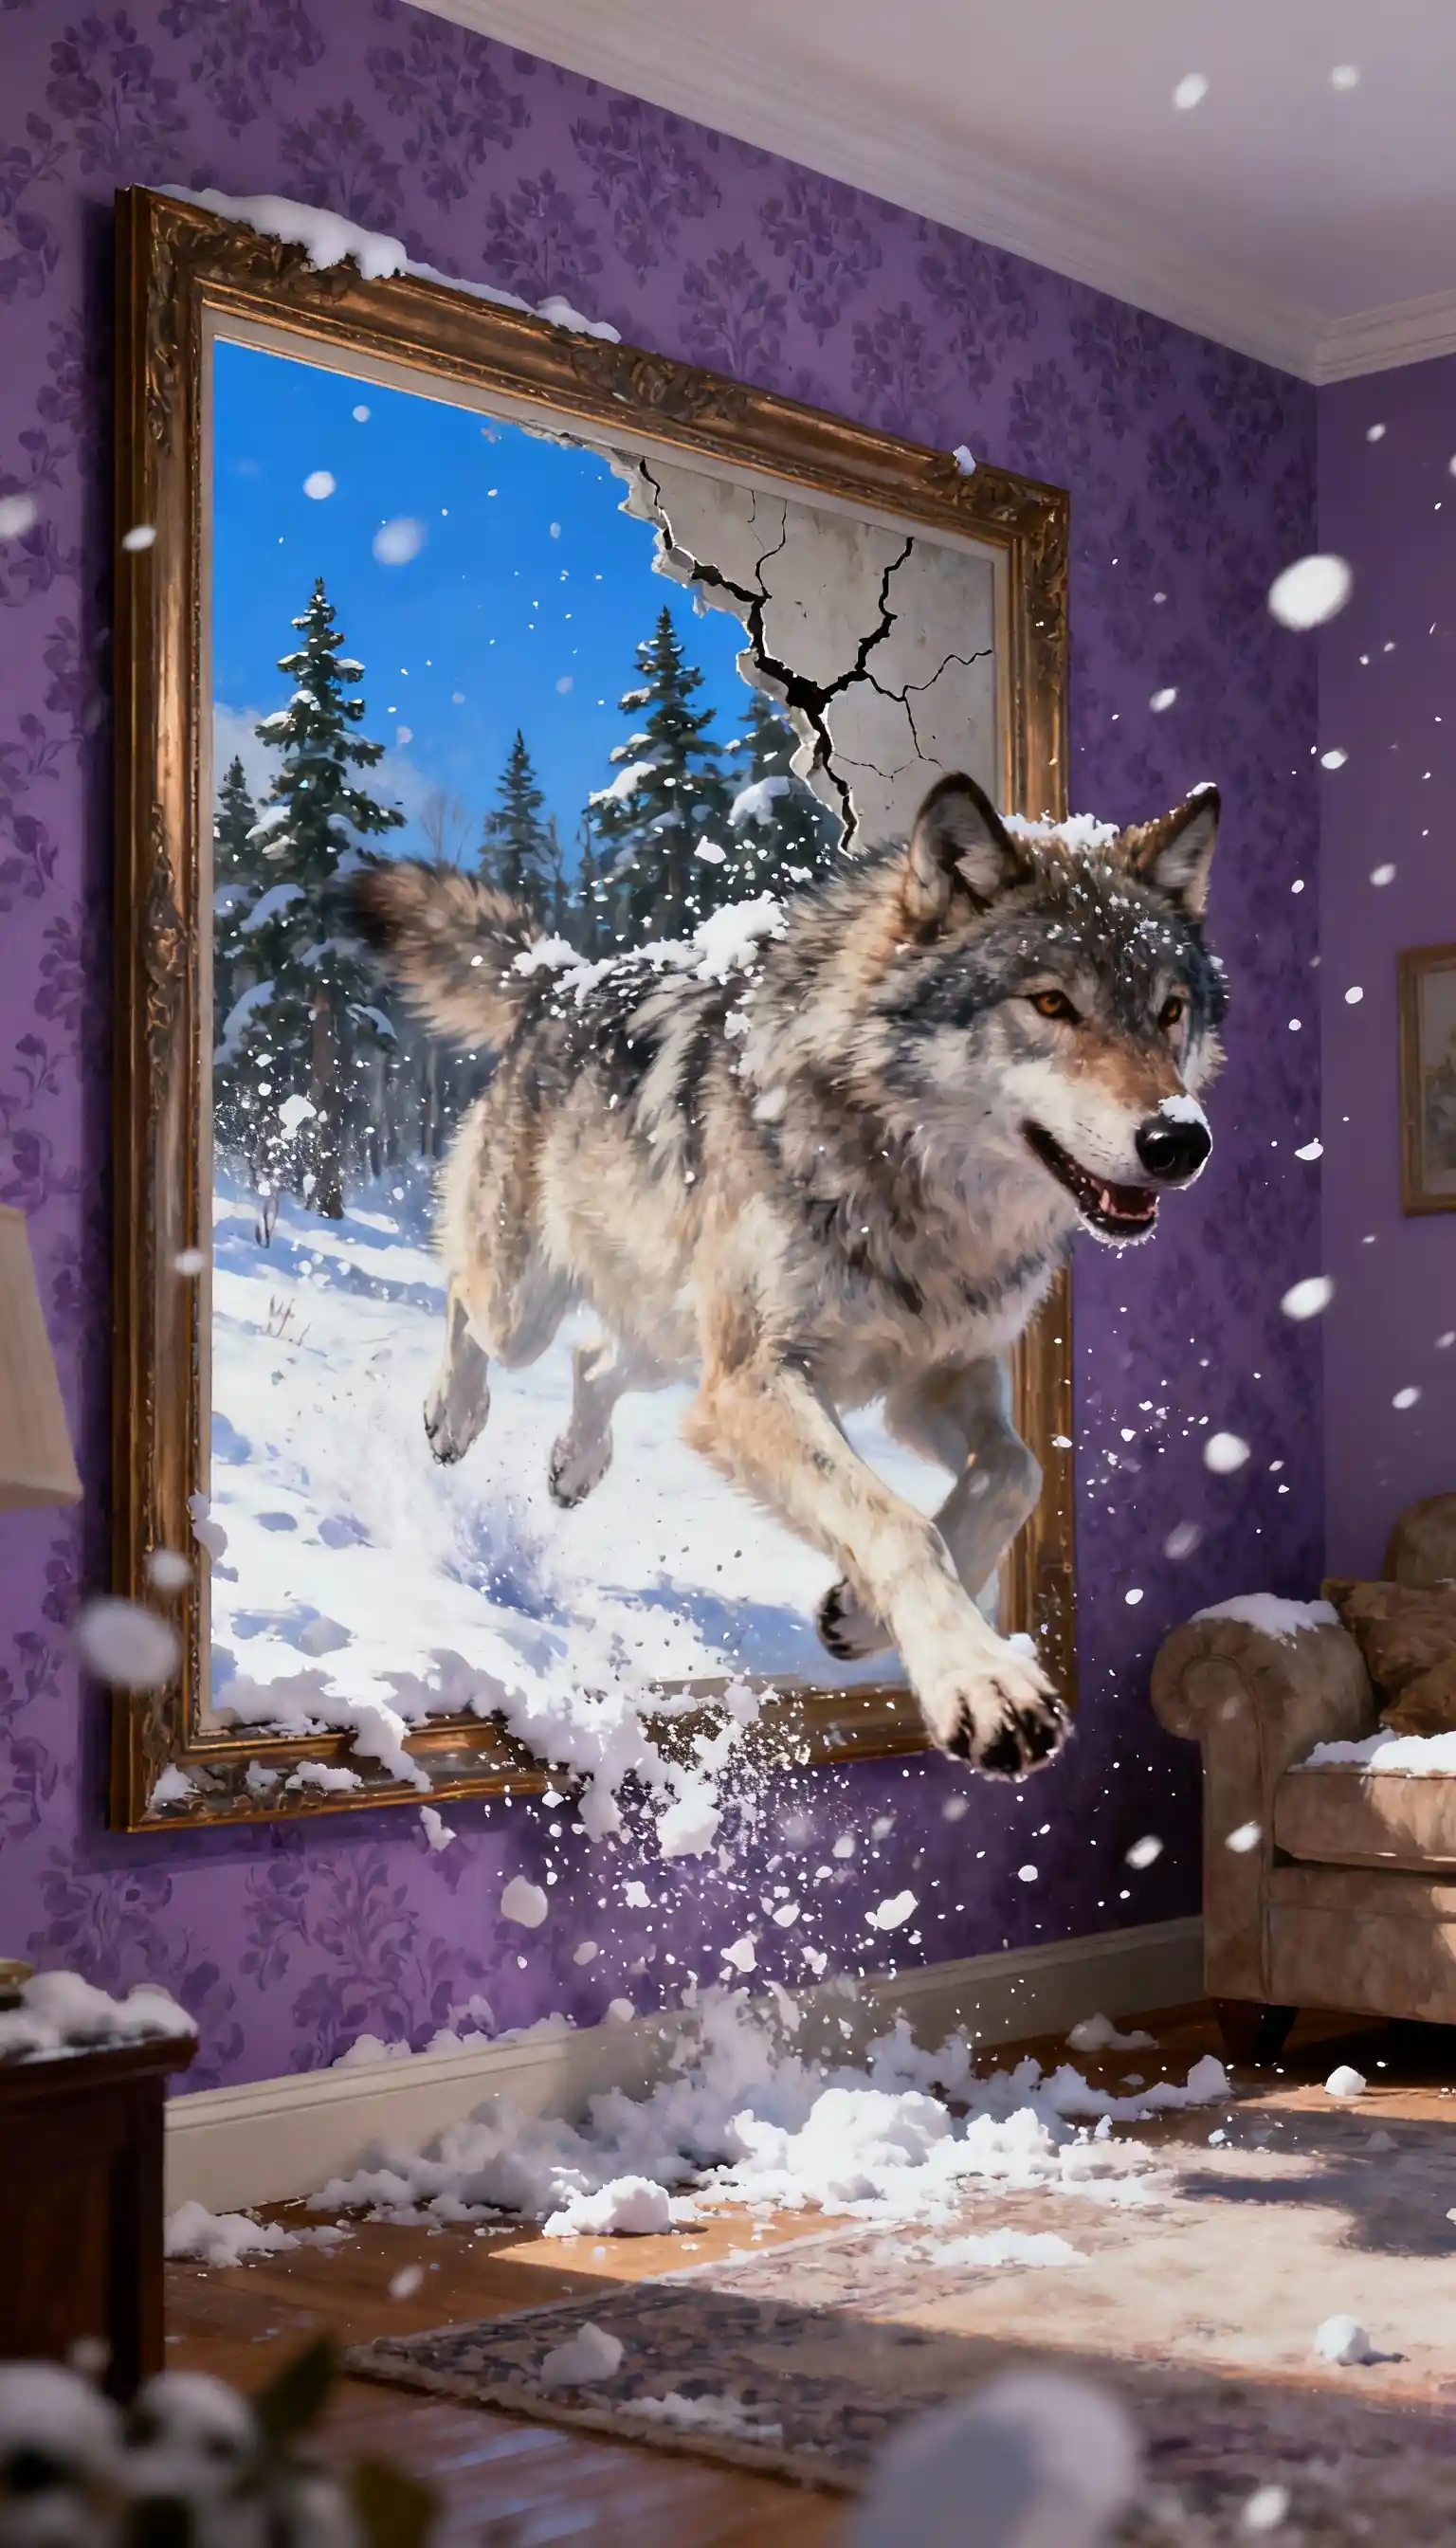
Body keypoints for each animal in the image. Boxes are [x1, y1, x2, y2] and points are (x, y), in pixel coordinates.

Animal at [350, 773, 1225, 1776]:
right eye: (1050, 1004)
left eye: (1169, 1010)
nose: (1179, 1140)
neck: (922, 1202)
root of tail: (562, 975)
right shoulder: (758, 1383)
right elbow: (898, 1522)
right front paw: (982, 1683)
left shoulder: (930, 1380)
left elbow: (1016, 1472)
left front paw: (859, 1615)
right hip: (533, 1307)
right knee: (471, 1304)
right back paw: (452, 1418)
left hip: (672, 1340)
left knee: (593, 1360)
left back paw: (575, 1467)